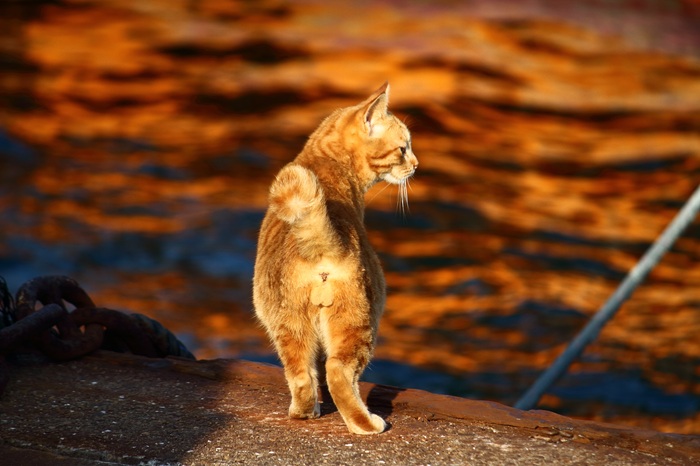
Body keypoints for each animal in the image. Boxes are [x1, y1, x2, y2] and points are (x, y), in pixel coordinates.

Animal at [252, 82, 416, 436]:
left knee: (302, 375)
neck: (325, 157)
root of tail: (320, 246)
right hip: (360, 321)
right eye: (402, 149)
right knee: (338, 373)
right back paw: (366, 424)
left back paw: (304, 413)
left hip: (288, 323)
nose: (416, 164)